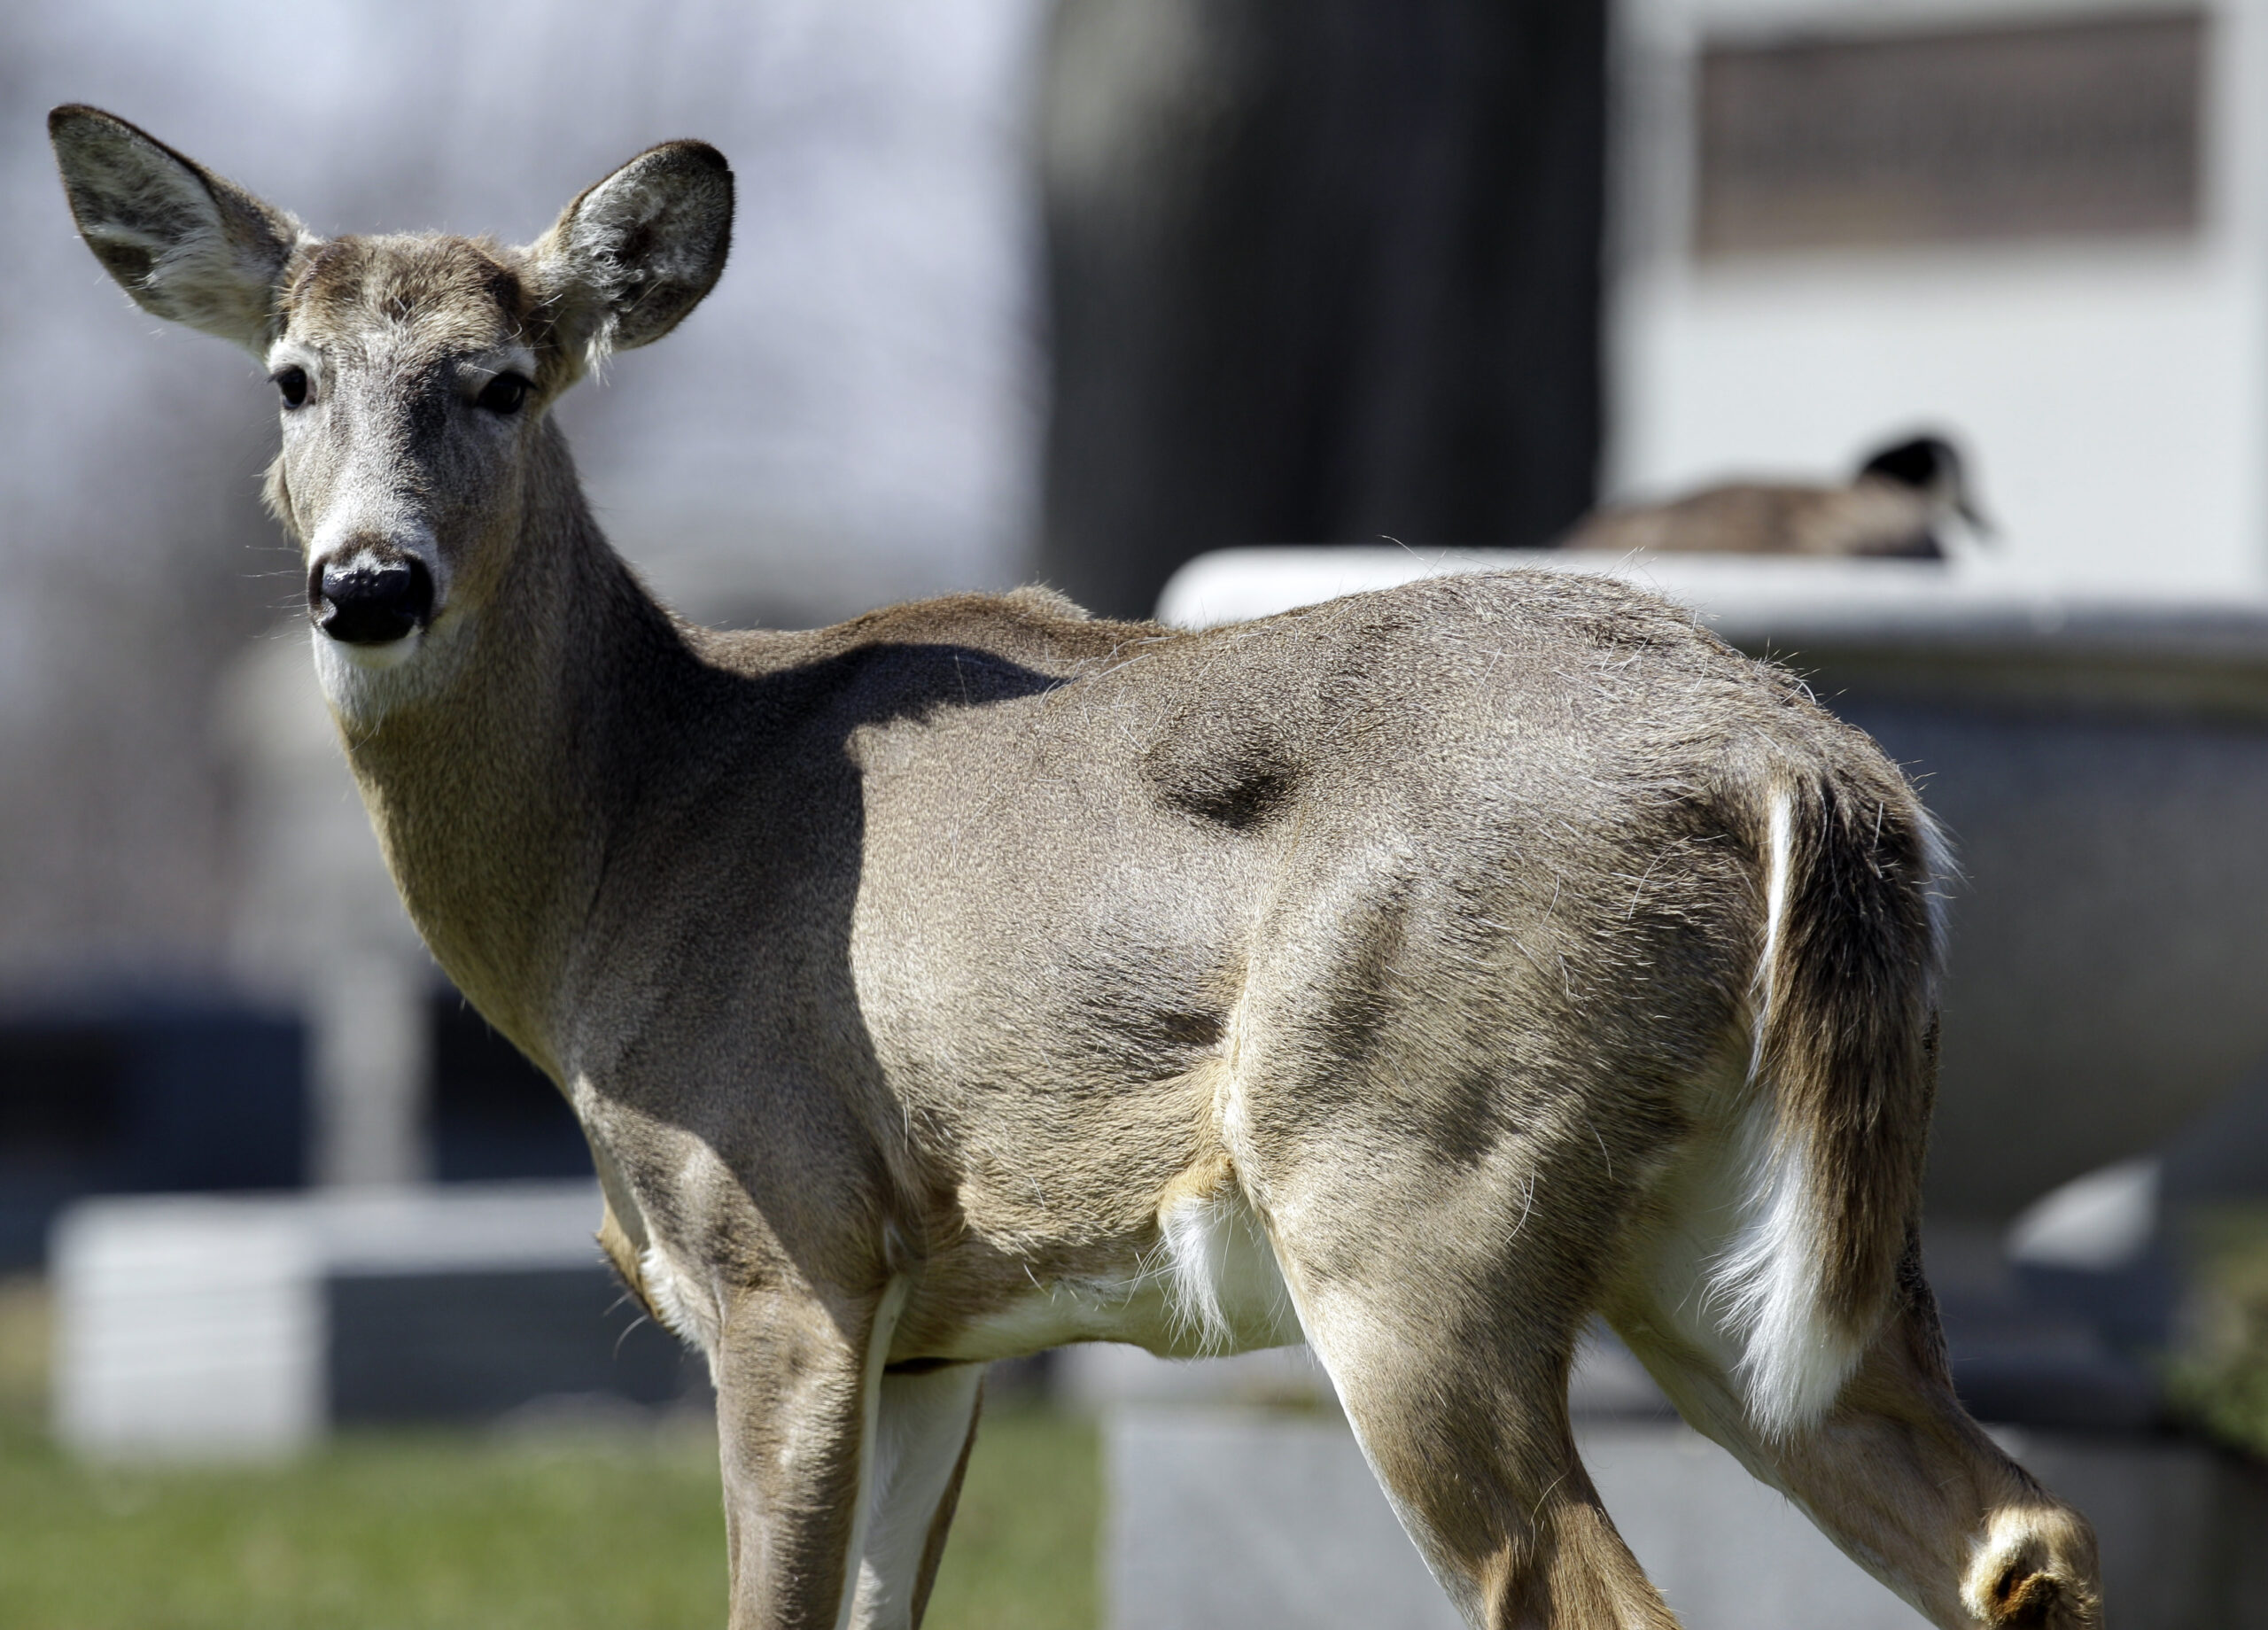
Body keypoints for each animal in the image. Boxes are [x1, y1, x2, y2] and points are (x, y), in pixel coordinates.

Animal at [53, 108, 2095, 1623]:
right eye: (290, 379)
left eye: (501, 381)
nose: (368, 583)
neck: (632, 831)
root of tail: (1797, 759)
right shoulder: (940, 1330)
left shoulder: (787, 1249)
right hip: (1759, 1245)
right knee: (2015, 1535)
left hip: (1411, 1201)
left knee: (1588, 1586)